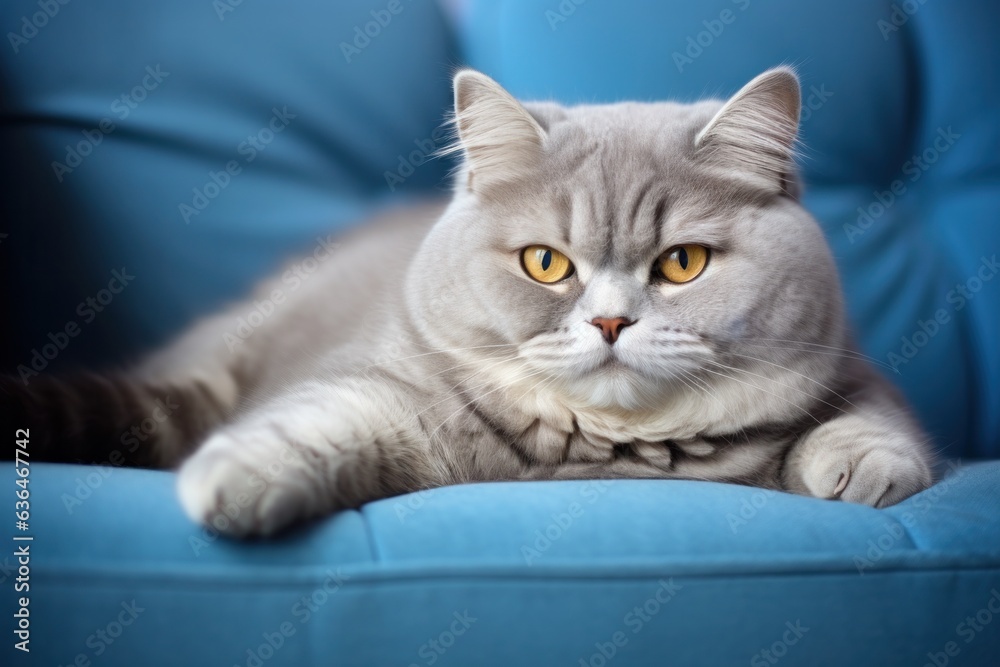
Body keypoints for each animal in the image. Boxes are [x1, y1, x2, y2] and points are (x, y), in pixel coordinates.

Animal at [5, 69, 936, 536]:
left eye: (682, 263)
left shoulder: (848, 367)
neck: (605, 451)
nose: (610, 322)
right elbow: (314, 419)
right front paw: (233, 479)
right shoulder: (388, 394)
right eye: (545, 262)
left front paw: (863, 465)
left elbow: (873, 413)